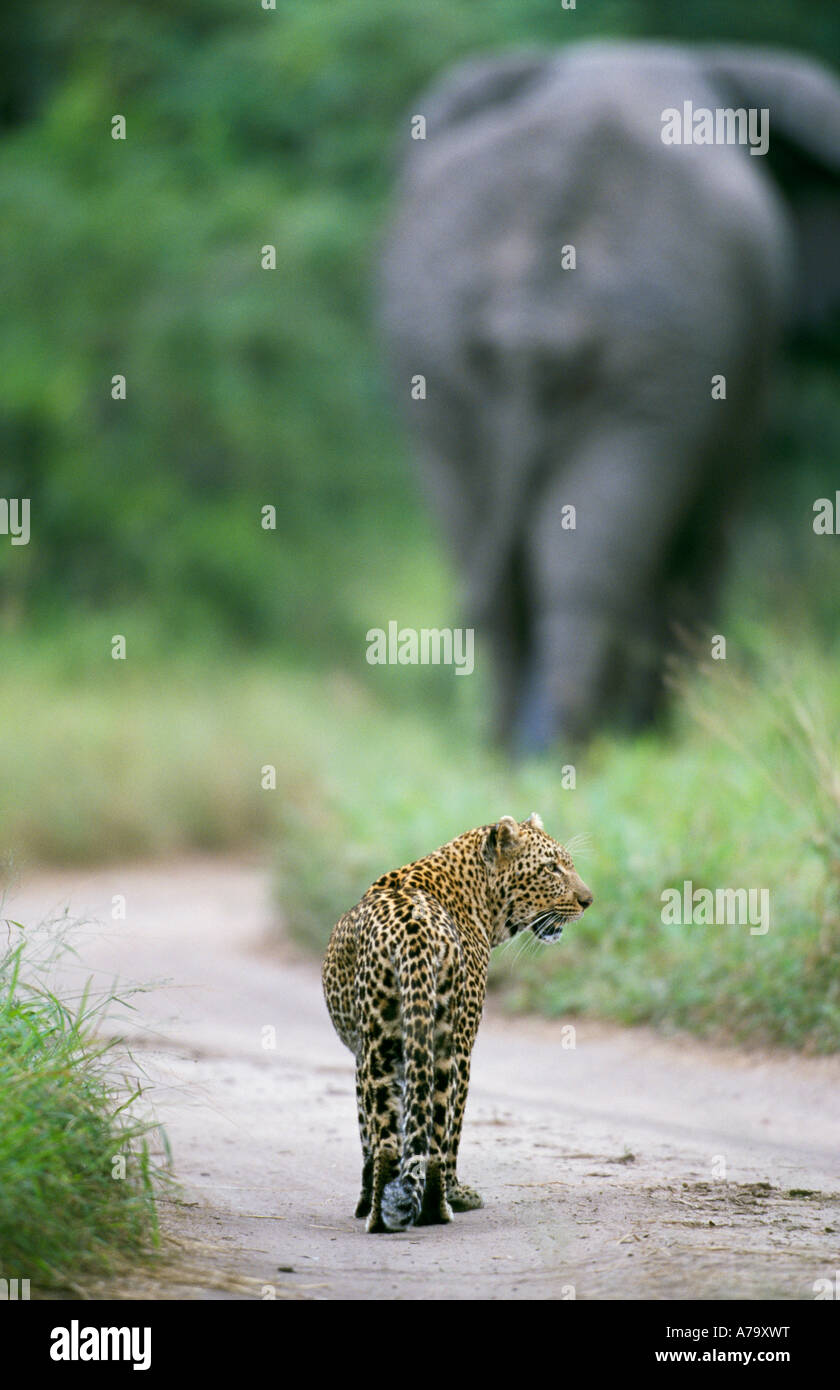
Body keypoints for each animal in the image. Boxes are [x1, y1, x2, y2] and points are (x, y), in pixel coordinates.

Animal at [321, 811, 589, 1234]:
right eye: (551, 868)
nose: (588, 900)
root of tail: (412, 933)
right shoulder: (461, 1042)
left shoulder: (363, 1054)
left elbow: (369, 1131)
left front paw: (366, 1202)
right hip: (442, 1047)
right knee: (434, 1135)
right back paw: (439, 1205)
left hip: (386, 1048)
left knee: (391, 1140)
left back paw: (391, 1214)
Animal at [378, 43, 840, 756]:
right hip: (662, 351)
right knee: (594, 566)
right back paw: (574, 752)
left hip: (438, 342)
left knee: (502, 569)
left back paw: (518, 754)